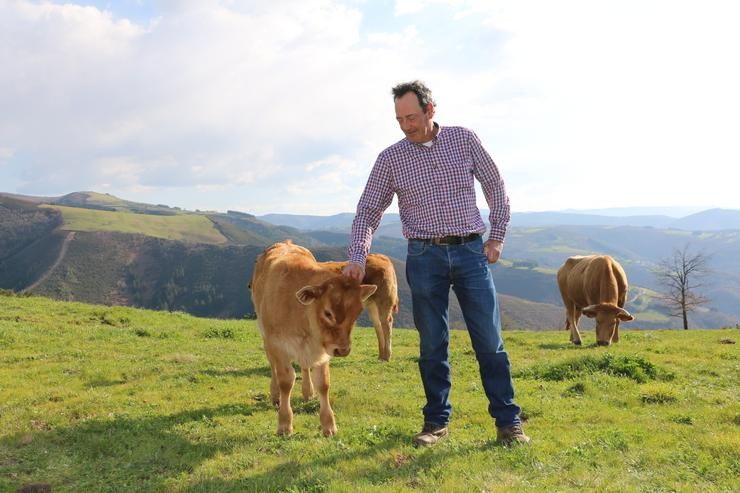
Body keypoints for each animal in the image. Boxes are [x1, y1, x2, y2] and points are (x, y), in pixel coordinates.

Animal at [250, 240, 376, 436]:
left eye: (357, 313)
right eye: (328, 313)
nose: (343, 350)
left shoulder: (322, 349)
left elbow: (323, 383)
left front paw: (328, 425)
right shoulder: (278, 345)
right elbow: (286, 381)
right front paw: (284, 424)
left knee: (304, 366)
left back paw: (308, 391)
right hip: (266, 339)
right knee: (273, 368)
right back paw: (275, 394)